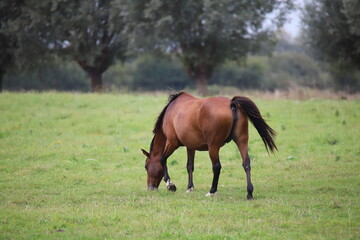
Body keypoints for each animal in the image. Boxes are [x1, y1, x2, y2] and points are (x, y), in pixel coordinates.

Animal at [141, 92, 276, 199]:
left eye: (146, 166)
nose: (150, 188)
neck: (172, 111)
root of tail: (232, 103)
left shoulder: (172, 143)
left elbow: (163, 159)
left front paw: (170, 185)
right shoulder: (191, 147)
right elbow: (189, 166)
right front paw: (190, 187)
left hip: (213, 146)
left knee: (217, 166)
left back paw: (212, 191)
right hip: (241, 141)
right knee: (246, 163)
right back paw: (249, 193)